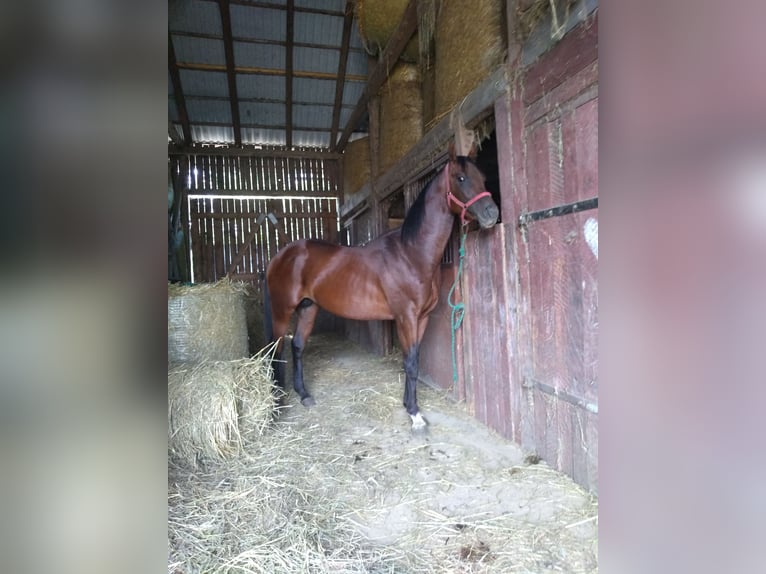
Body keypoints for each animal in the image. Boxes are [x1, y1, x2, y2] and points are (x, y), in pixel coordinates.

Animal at [268, 143, 500, 432]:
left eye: (483, 177)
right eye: (461, 178)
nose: (492, 213)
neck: (411, 254)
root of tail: (282, 255)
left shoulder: (421, 318)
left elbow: (413, 359)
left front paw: (408, 405)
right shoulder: (406, 318)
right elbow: (410, 363)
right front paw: (415, 415)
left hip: (308, 308)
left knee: (297, 346)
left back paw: (304, 395)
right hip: (282, 310)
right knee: (275, 350)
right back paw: (276, 404)